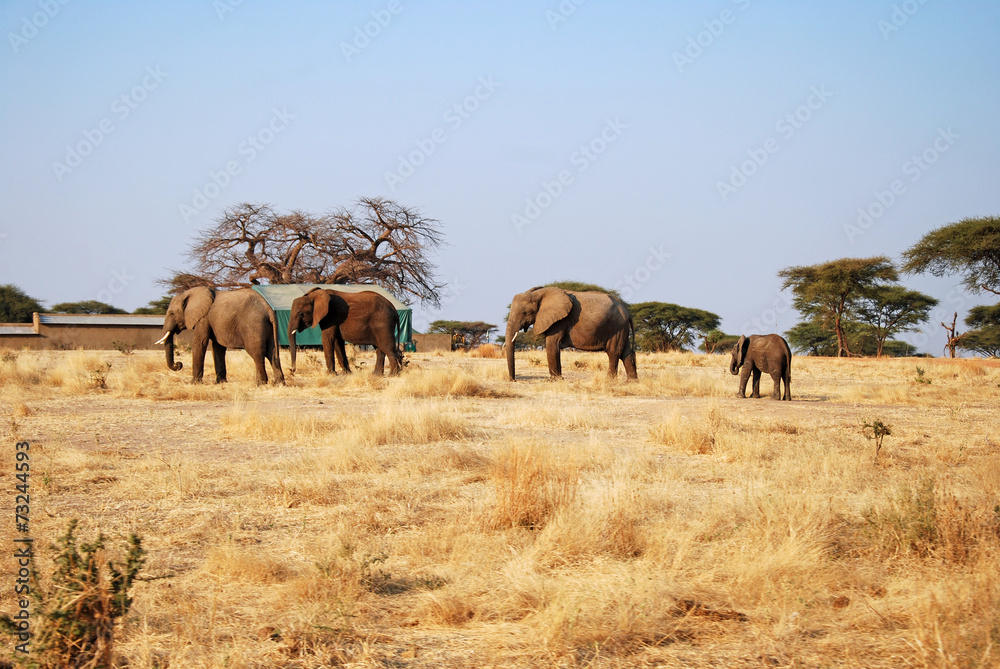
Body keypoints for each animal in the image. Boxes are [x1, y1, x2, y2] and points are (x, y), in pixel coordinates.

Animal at [155, 287, 284, 385]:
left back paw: (260, 383)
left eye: (172, 314)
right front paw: (221, 382)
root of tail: (268, 308)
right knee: (272, 353)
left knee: (257, 354)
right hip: (268, 327)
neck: (188, 294)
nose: (178, 364)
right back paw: (278, 383)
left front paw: (194, 383)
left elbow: (199, 343)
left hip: (254, 325)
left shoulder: (203, 318)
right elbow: (217, 348)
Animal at [504, 286, 637, 381]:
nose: (513, 380)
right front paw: (558, 379)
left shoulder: (559, 320)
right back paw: (631, 382)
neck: (540, 294)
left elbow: (552, 344)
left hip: (616, 326)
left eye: (525, 313)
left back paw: (609, 381)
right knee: (625, 352)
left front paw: (555, 380)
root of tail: (627, 311)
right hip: (621, 327)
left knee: (614, 352)